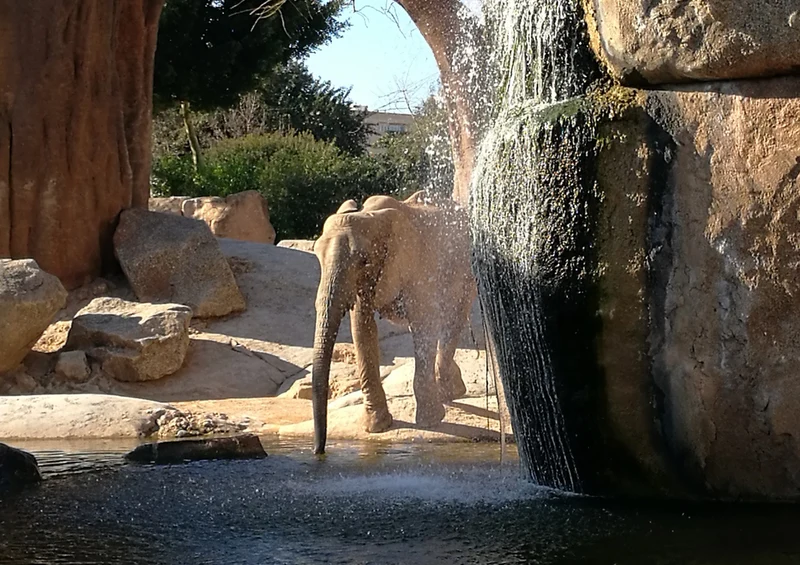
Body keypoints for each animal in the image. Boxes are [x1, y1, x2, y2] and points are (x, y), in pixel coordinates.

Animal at [311, 191, 476, 454]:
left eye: (363, 261)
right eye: (316, 254)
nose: (318, 451)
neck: (372, 216)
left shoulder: (417, 265)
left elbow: (424, 324)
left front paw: (431, 421)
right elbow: (362, 329)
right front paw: (377, 427)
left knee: (454, 316)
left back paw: (448, 392)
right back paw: (450, 391)